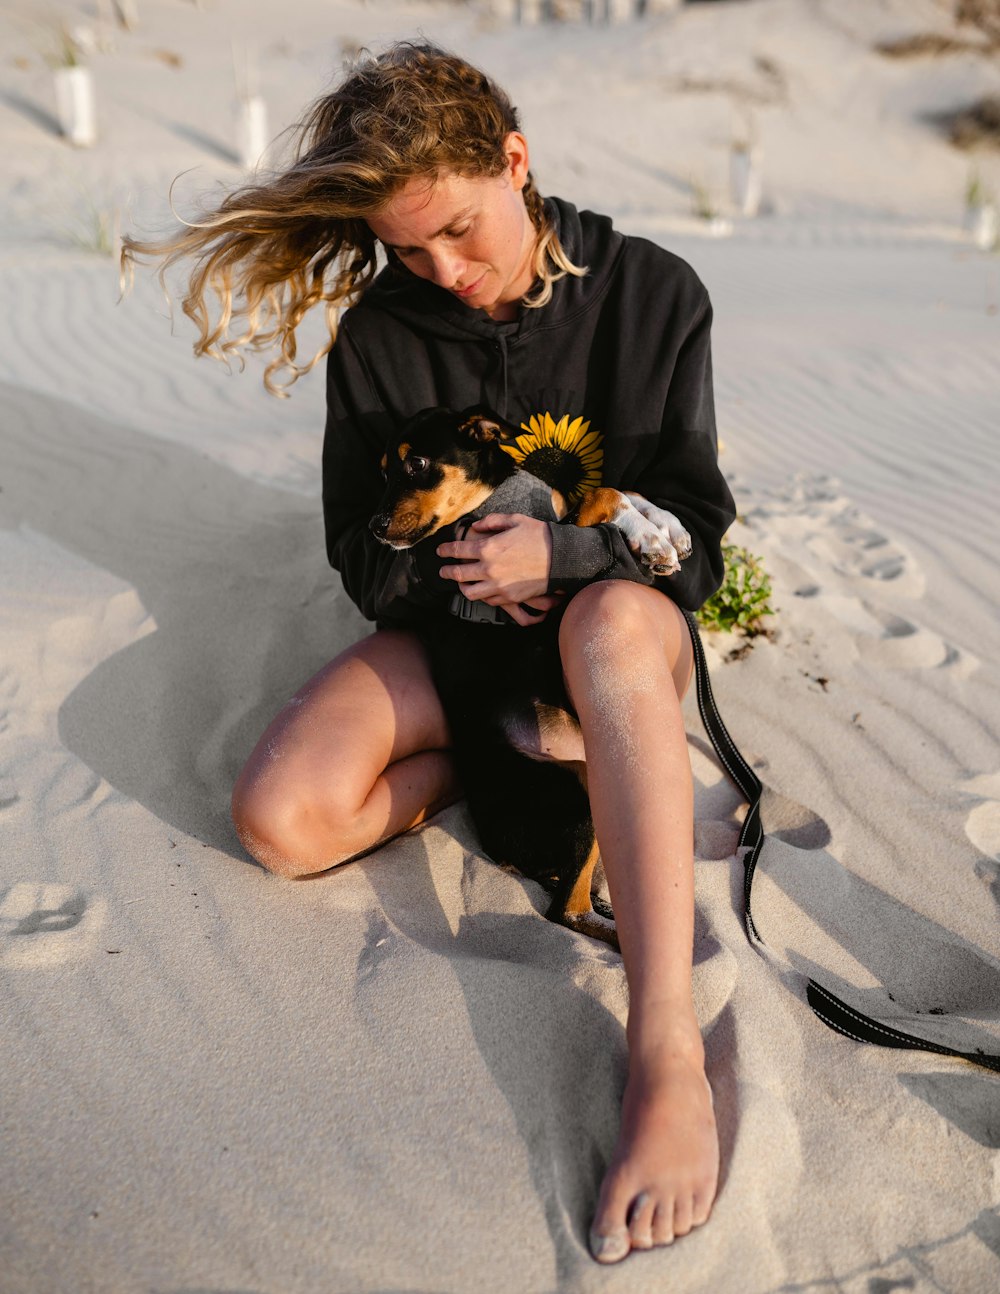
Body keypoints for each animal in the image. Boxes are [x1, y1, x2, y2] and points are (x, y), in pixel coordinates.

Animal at [369, 408, 688, 947]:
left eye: (416, 464)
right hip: (579, 805)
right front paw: (648, 539)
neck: (494, 496)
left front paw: (668, 528)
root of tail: (502, 851)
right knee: (567, 911)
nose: (375, 527)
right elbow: (604, 493)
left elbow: (615, 486)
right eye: (384, 471)